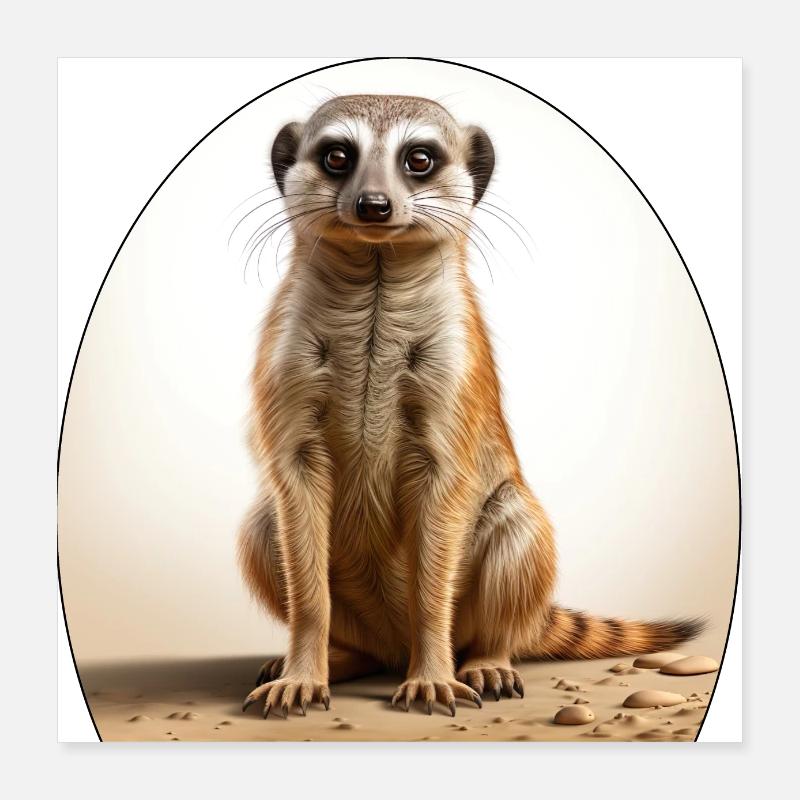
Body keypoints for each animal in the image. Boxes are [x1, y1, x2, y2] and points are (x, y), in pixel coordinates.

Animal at [237, 95, 702, 719]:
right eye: (336, 156)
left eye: (419, 159)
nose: (373, 205)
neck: (376, 280)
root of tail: (393, 643)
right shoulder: (286, 361)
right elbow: (299, 525)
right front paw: (301, 677)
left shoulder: (454, 371)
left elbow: (440, 530)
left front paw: (433, 678)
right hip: (289, 555)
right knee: (266, 529)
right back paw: (339, 658)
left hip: (515, 534)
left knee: (514, 554)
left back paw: (487, 662)